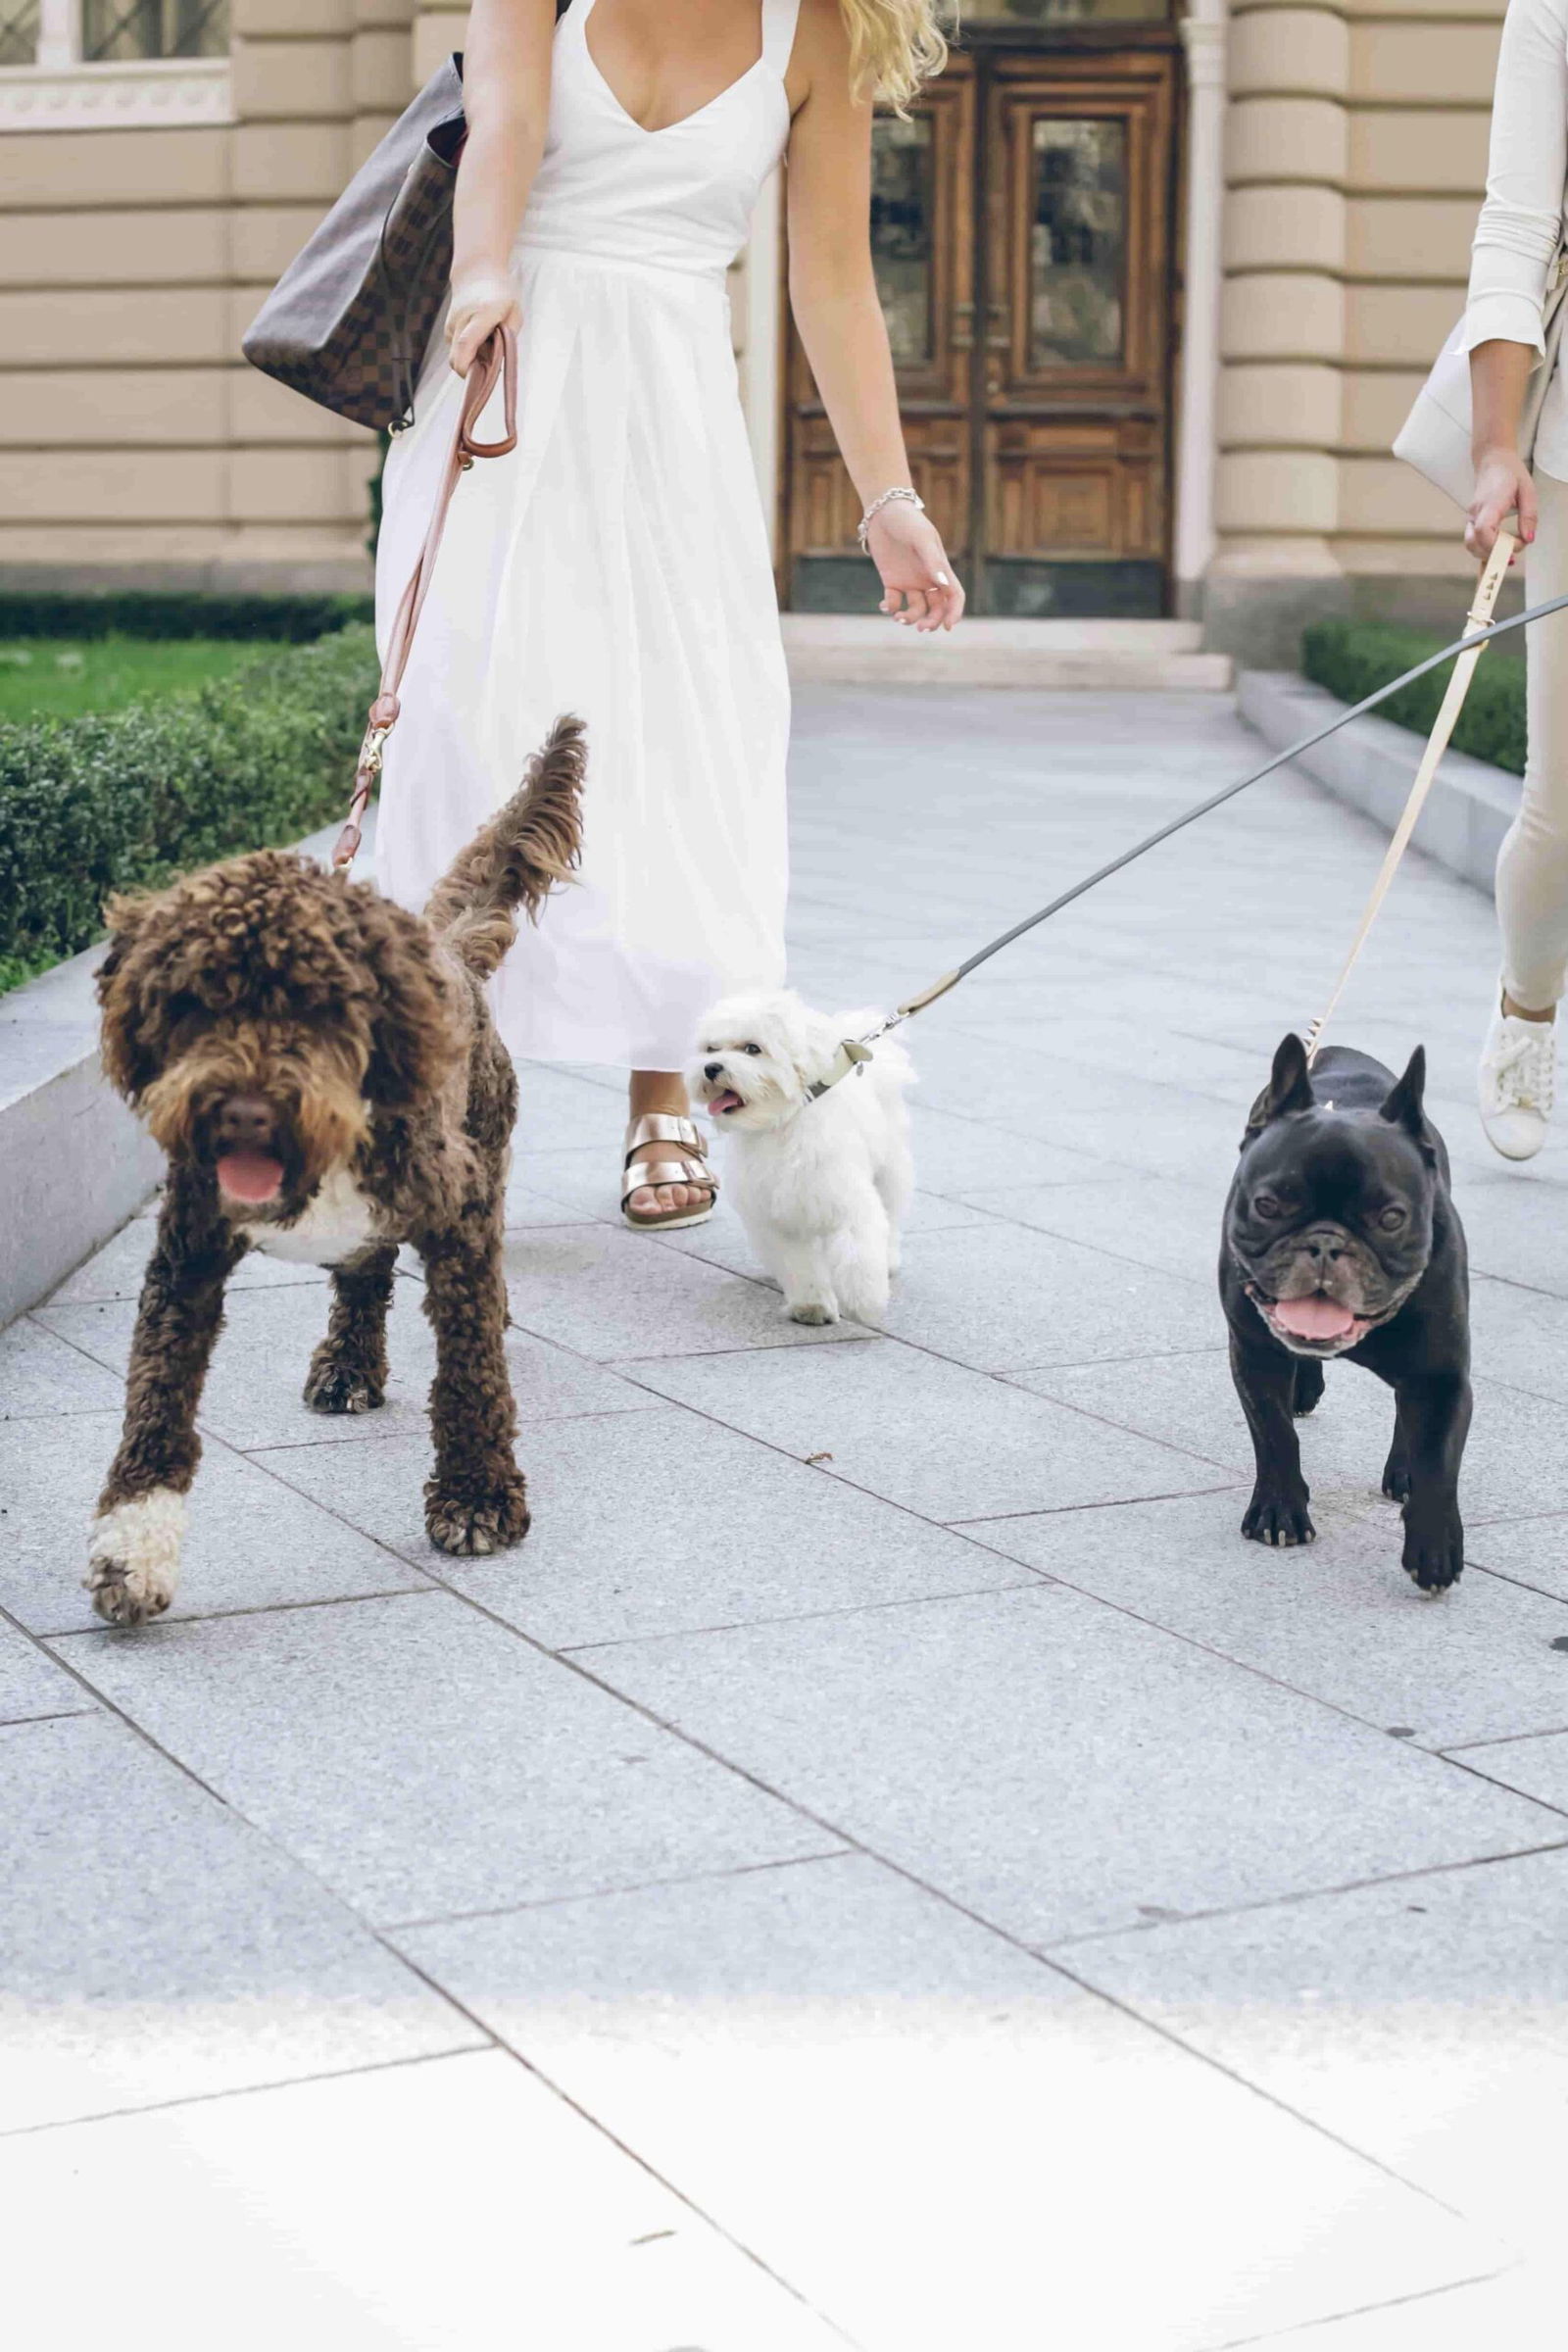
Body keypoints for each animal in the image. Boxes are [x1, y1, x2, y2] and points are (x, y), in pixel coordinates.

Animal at [87, 714, 587, 1627]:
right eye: (193, 1003)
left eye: (319, 1005)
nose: (243, 1112)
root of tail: (445, 945)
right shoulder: (186, 1255)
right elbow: (155, 1400)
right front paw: (129, 1553)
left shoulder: (458, 1213)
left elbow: (470, 1369)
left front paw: (477, 1496)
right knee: (363, 1277)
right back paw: (347, 1366)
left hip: (487, 1143)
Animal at [691, 988, 921, 1326]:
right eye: (711, 1049)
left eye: (752, 1049)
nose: (711, 1068)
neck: (781, 1123)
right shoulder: (780, 1217)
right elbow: (800, 1265)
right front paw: (813, 1306)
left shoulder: (847, 1200)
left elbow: (858, 1253)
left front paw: (865, 1302)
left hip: (890, 1169)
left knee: (890, 1215)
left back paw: (889, 1260)